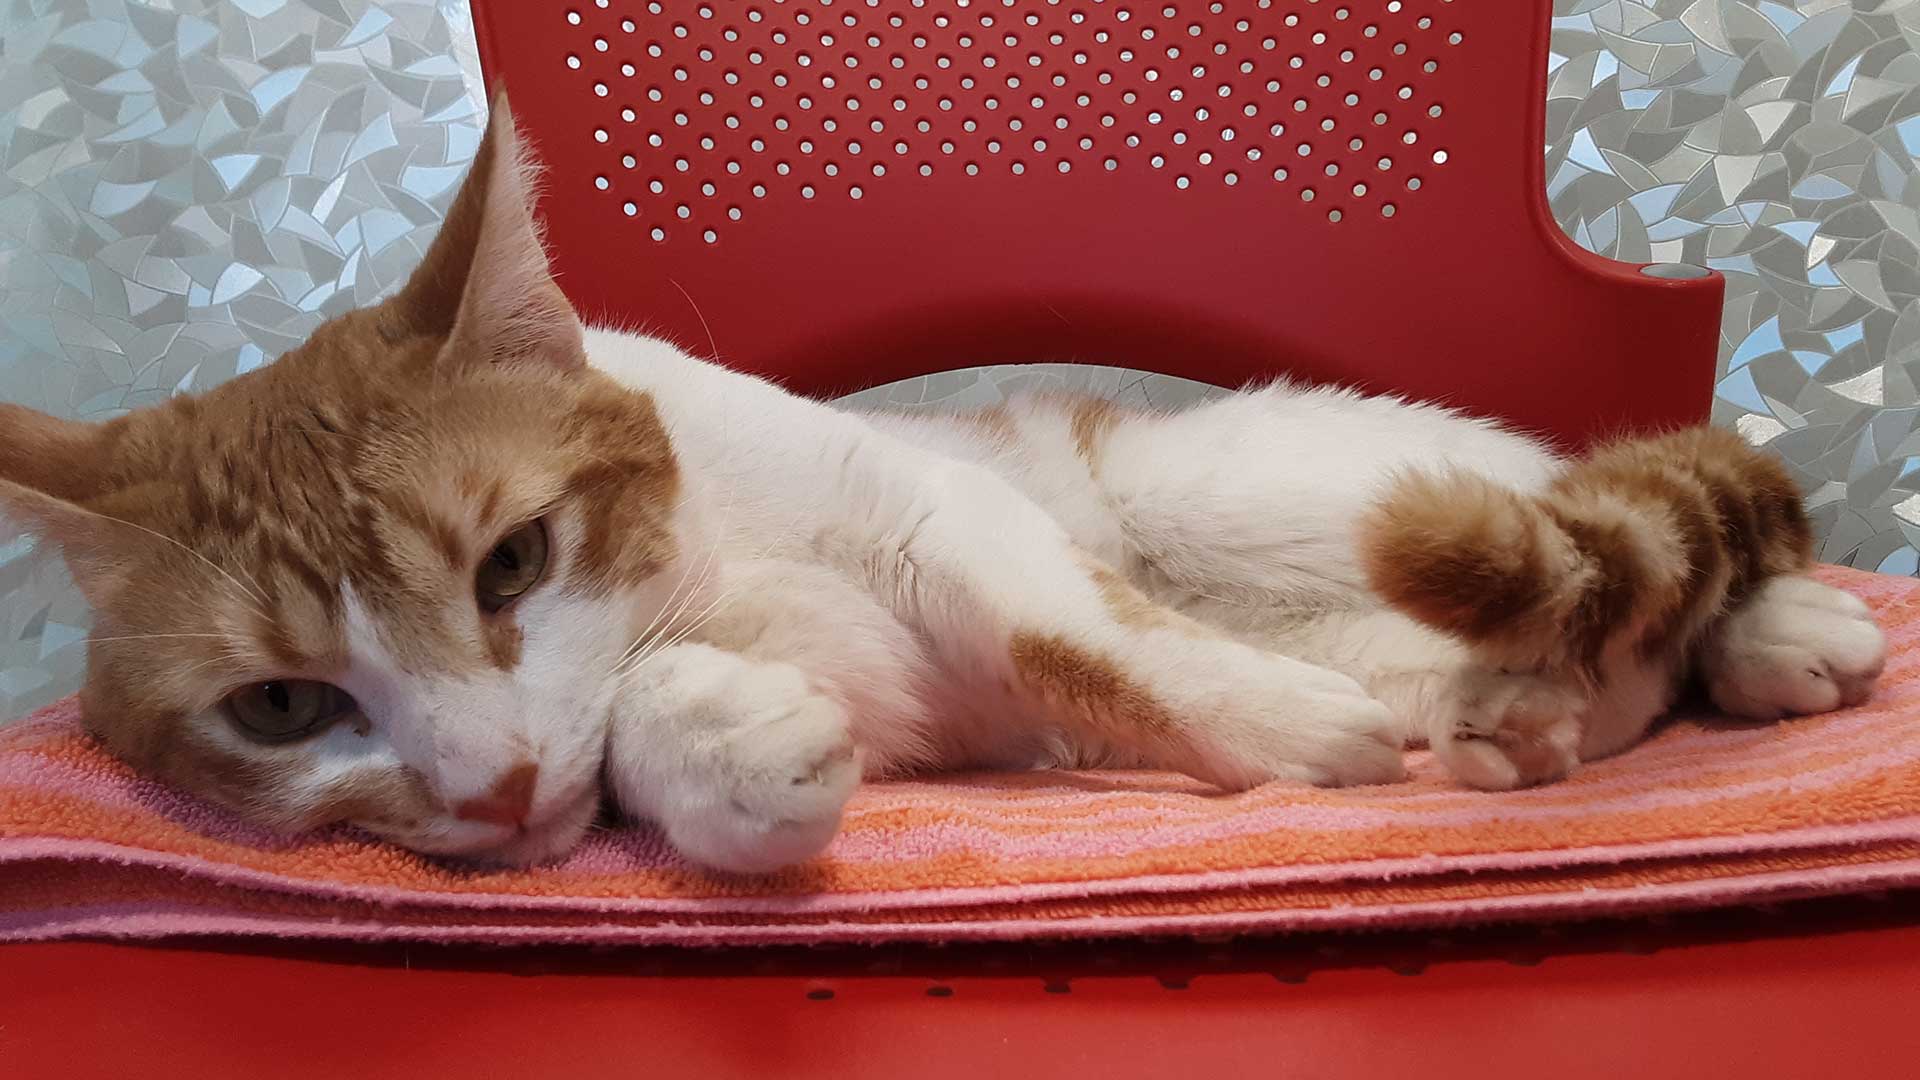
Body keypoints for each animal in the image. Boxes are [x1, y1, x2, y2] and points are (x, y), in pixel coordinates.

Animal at [0, 100, 1889, 868]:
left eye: (514, 561)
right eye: (281, 710)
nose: (487, 790)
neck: (707, 560)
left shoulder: (939, 515)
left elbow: (1091, 638)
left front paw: (1279, 738)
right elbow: (657, 733)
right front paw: (725, 749)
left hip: (1258, 485)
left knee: (1604, 539)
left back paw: (1775, 629)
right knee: (1578, 648)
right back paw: (1539, 702)